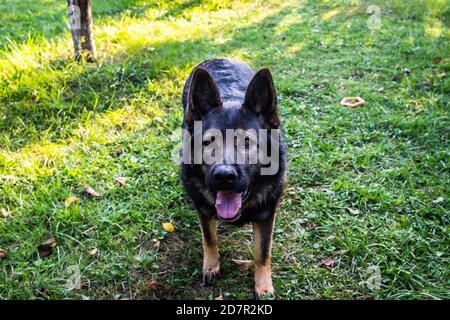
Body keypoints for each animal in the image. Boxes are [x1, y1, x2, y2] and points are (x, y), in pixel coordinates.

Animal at [181, 57, 286, 298]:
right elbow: (209, 239)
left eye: (247, 142)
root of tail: (220, 58)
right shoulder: (204, 210)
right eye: (209, 142)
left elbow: (262, 253)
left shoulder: (267, 216)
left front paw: (263, 285)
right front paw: (211, 266)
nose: (224, 176)